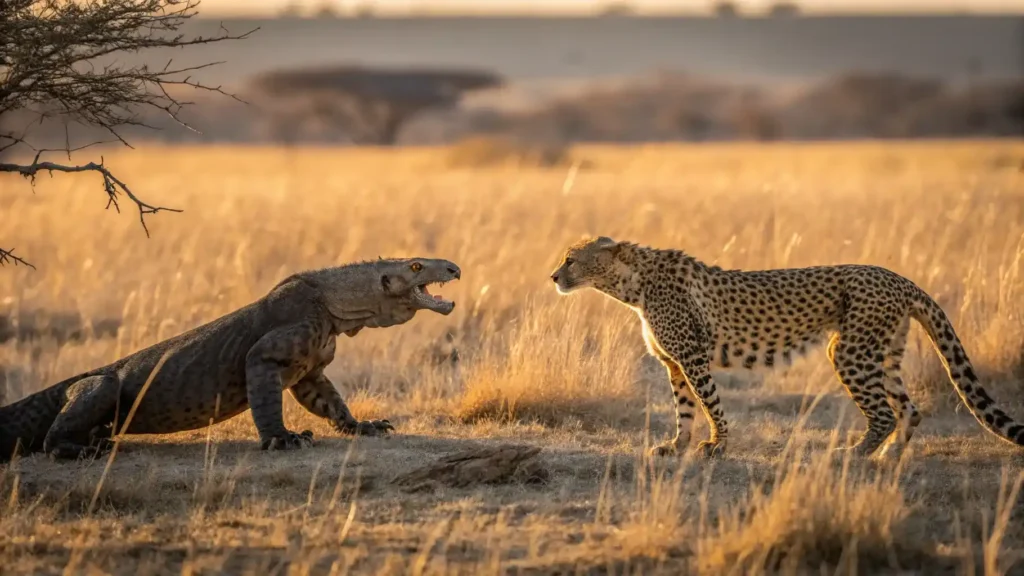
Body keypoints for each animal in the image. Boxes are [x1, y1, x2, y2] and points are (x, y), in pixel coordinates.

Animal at [549, 235, 1024, 459]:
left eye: (572, 258)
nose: (553, 276)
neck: (631, 284)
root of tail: (897, 276)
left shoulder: (694, 357)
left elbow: (710, 403)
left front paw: (717, 445)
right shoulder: (675, 363)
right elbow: (684, 409)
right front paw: (677, 447)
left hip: (848, 351)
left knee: (885, 412)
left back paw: (854, 454)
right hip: (884, 352)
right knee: (909, 409)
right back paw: (889, 458)